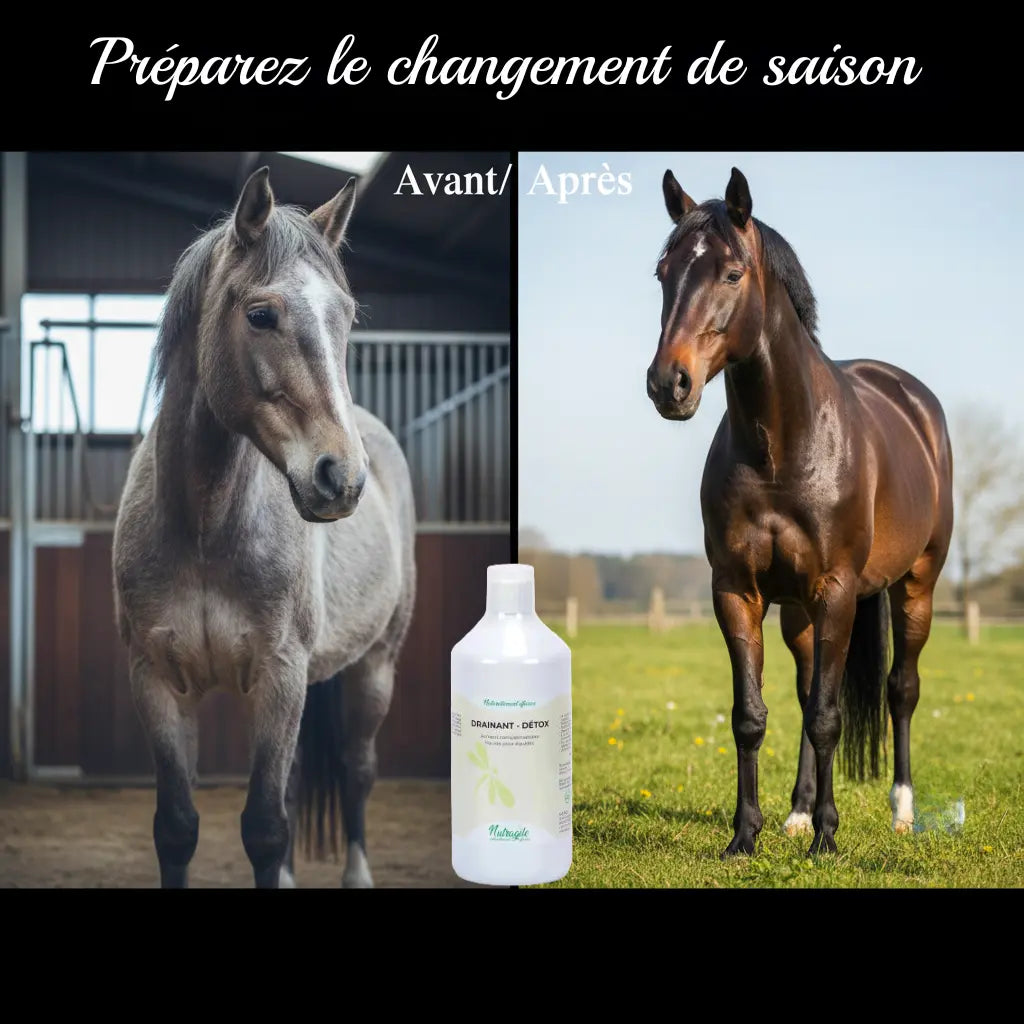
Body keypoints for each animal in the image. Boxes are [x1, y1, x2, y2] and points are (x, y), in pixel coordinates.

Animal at [113, 167, 417, 888]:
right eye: (260, 315)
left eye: (346, 317)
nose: (342, 478)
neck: (204, 529)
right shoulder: (156, 682)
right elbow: (178, 827)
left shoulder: (281, 677)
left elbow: (266, 827)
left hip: (375, 669)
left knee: (357, 773)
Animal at [646, 167, 953, 857]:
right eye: (662, 272)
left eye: (732, 274)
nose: (667, 384)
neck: (783, 448)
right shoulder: (737, 590)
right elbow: (752, 715)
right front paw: (746, 836)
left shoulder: (836, 590)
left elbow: (827, 716)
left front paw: (827, 841)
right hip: (798, 615)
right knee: (810, 683)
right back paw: (798, 812)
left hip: (915, 585)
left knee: (901, 689)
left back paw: (900, 811)